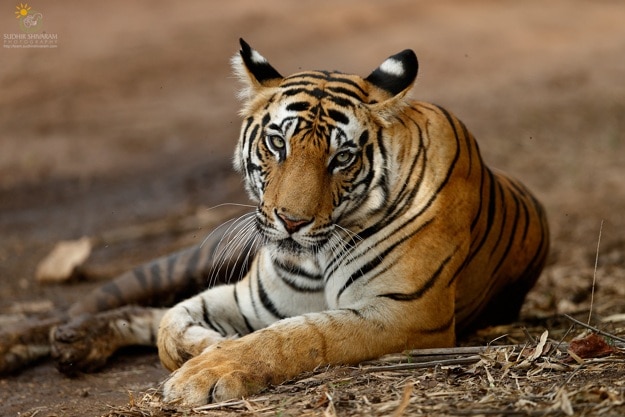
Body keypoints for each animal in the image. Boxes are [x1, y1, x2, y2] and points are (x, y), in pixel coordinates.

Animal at [155, 38, 544, 404]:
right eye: (277, 142)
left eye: (342, 157)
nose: (292, 222)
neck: (314, 261)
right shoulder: (254, 299)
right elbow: (169, 321)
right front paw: (211, 343)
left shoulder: (404, 311)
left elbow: (299, 335)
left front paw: (204, 372)